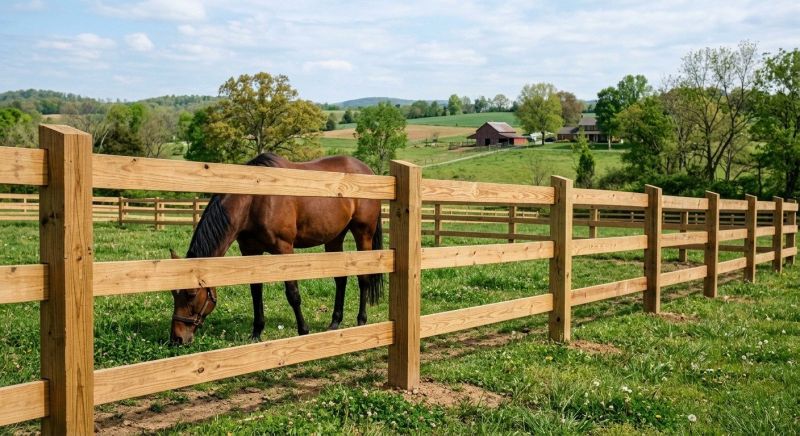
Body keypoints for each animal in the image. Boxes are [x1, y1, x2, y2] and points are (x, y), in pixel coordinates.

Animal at [169, 153, 384, 345]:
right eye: (173, 293)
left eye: (191, 294)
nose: (177, 339)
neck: (255, 201)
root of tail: (367, 170)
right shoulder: (250, 250)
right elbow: (256, 291)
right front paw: (256, 333)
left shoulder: (284, 248)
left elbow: (293, 294)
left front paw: (303, 331)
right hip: (334, 237)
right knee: (340, 279)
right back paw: (334, 323)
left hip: (363, 234)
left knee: (364, 278)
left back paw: (361, 320)